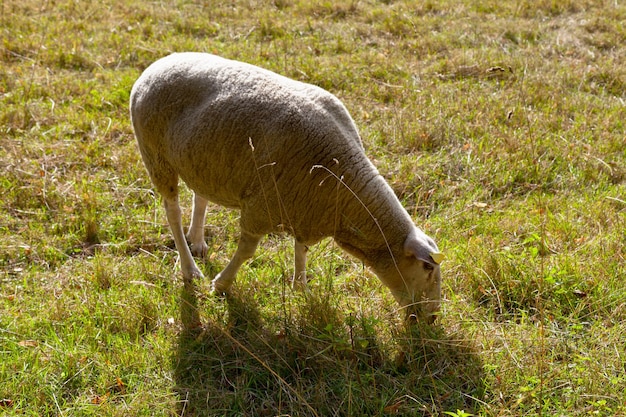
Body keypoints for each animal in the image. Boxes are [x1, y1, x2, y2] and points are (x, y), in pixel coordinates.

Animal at [128, 52, 444, 324]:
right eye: (428, 269)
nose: (432, 319)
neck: (344, 187)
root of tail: (159, 62)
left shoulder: (305, 206)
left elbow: (301, 249)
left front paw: (300, 287)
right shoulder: (262, 206)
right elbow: (246, 252)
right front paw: (222, 285)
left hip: (200, 159)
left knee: (200, 196)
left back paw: (197, 241)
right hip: (156, 156)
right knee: (173, 213)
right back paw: (189, 268)